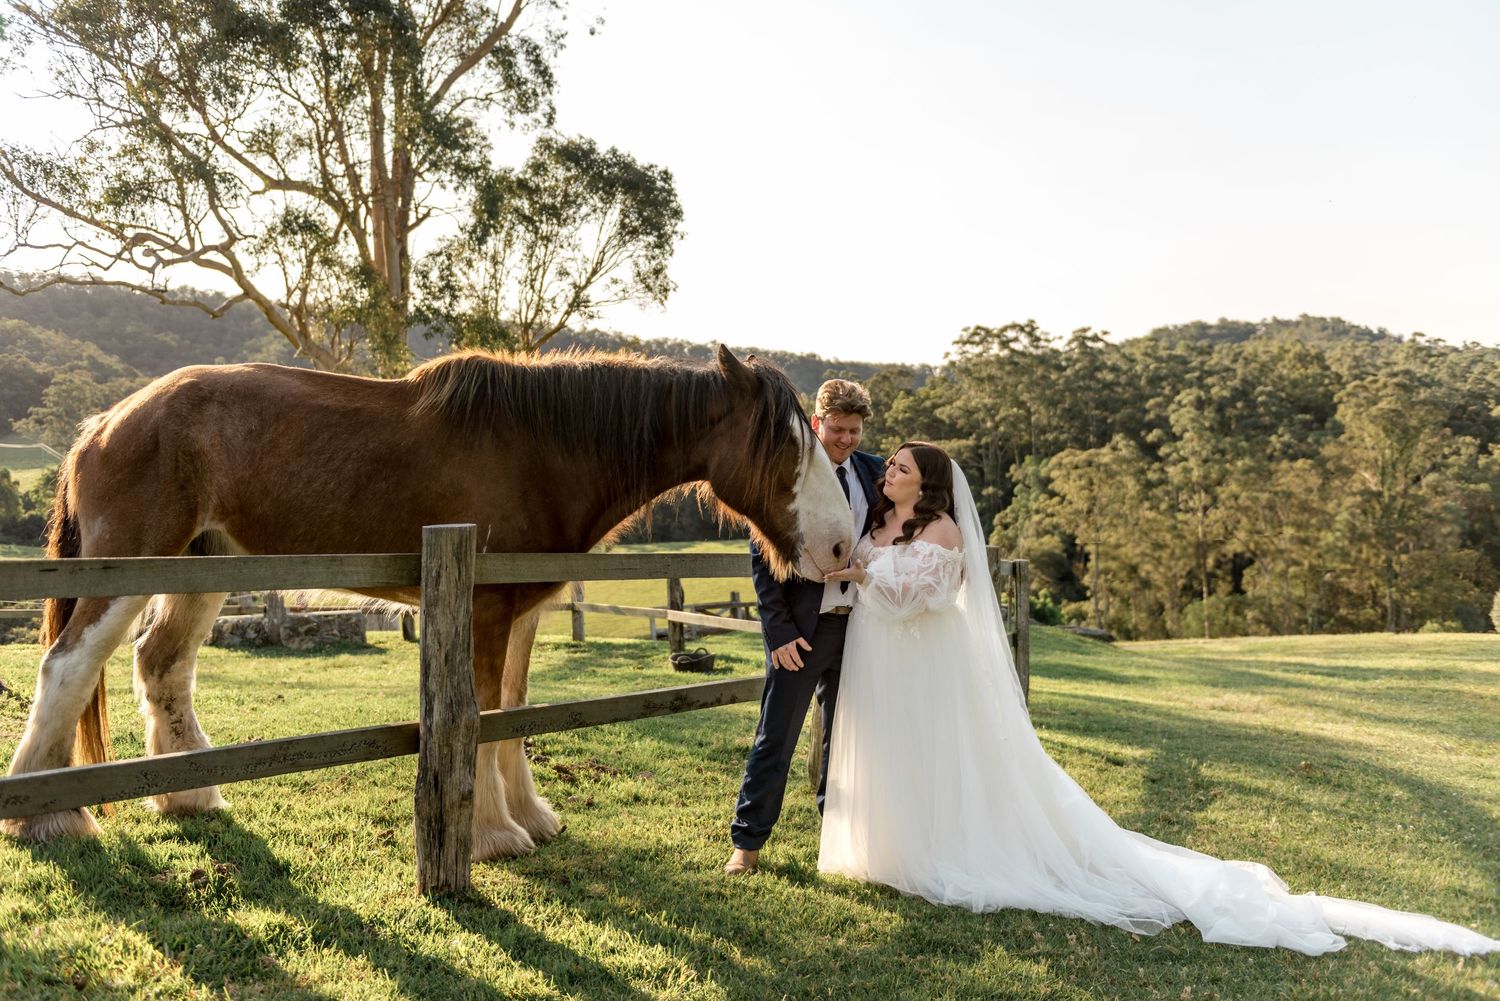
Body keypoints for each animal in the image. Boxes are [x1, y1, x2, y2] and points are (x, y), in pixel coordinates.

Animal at [3, 345, 854, 859]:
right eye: (784, 447)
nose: (843, 547)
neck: (544, 447)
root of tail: (104, 422)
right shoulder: (485, 610)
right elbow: (480, 713)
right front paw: (493, 835)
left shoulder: (521, 612)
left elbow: (513, 713)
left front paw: (530, 817)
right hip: (127, 570)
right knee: (67, 666)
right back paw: (48, 812)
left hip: (200, 569)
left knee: (160, 663)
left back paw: (187, 794)